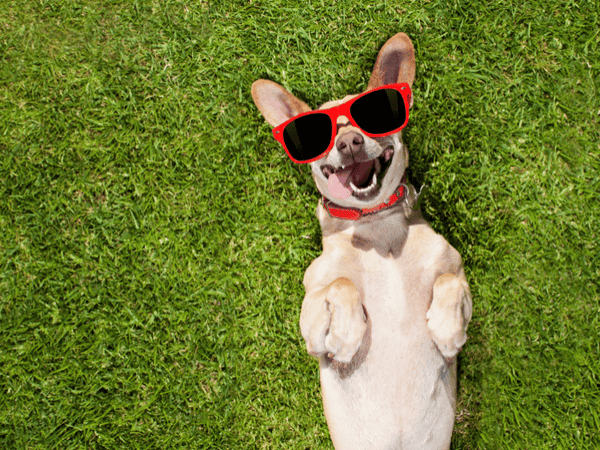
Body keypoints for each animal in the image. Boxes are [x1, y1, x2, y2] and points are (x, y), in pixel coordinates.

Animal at [251, 32, 472, 450]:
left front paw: (447, 329)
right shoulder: (311, 325)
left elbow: (450, 281)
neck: (376, 228)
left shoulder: (457, 272)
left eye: (369, 118)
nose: (351, 142)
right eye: (320, 135)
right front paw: (347, 335)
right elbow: (341, 284)